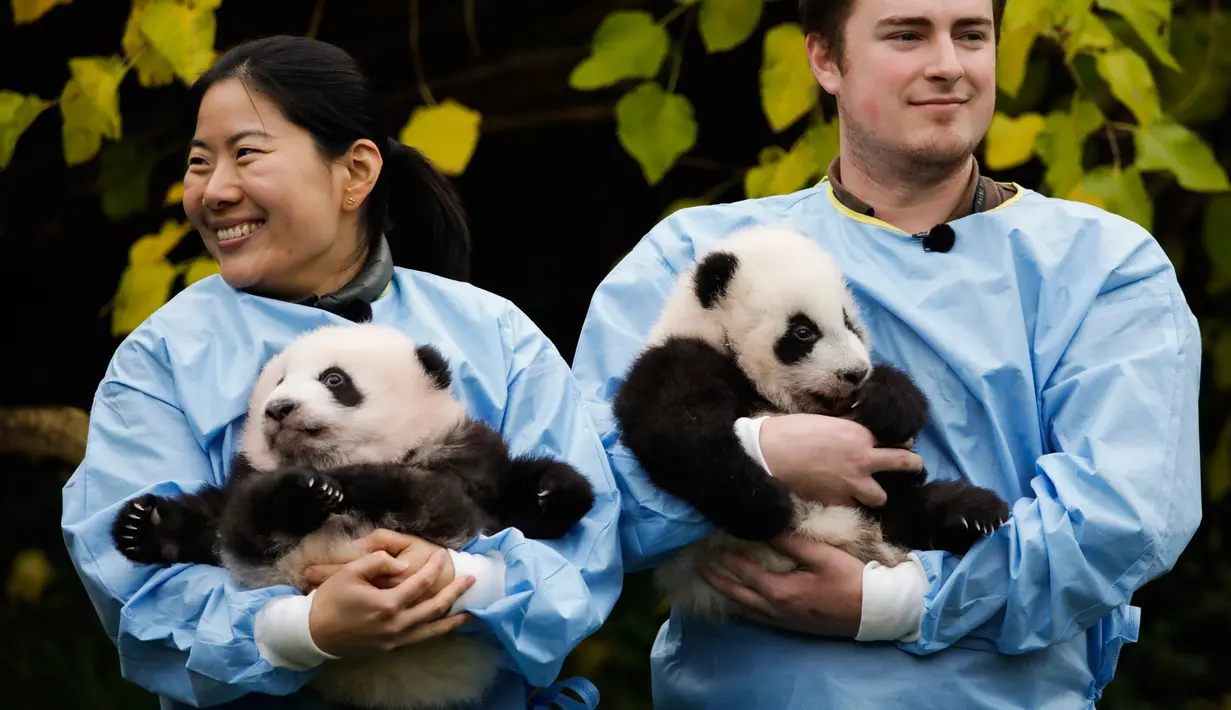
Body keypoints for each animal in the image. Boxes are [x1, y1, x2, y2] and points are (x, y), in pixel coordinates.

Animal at [612, 224, 1010, 620]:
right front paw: (764, 504)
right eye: (803, 332)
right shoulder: (679, 359)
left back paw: (972, 512)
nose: (854, 373)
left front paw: (889, 403)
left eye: (849, 323)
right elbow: (677, 430)